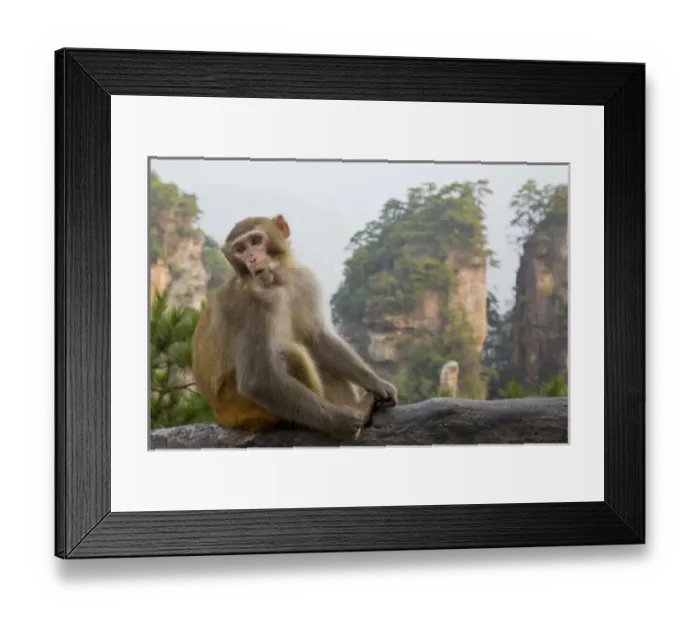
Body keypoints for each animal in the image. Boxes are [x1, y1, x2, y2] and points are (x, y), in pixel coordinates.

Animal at [191, 213, 398, 441]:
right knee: (289, 353)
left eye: (255, 241)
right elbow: (258, 378)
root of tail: (220, 416)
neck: (278, 282)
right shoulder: (252, 300)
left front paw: (378, 384)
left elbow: (316, 338)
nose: (252, 258)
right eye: (240, 249)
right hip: (244, 410)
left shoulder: (305, 280)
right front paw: (340, 421)